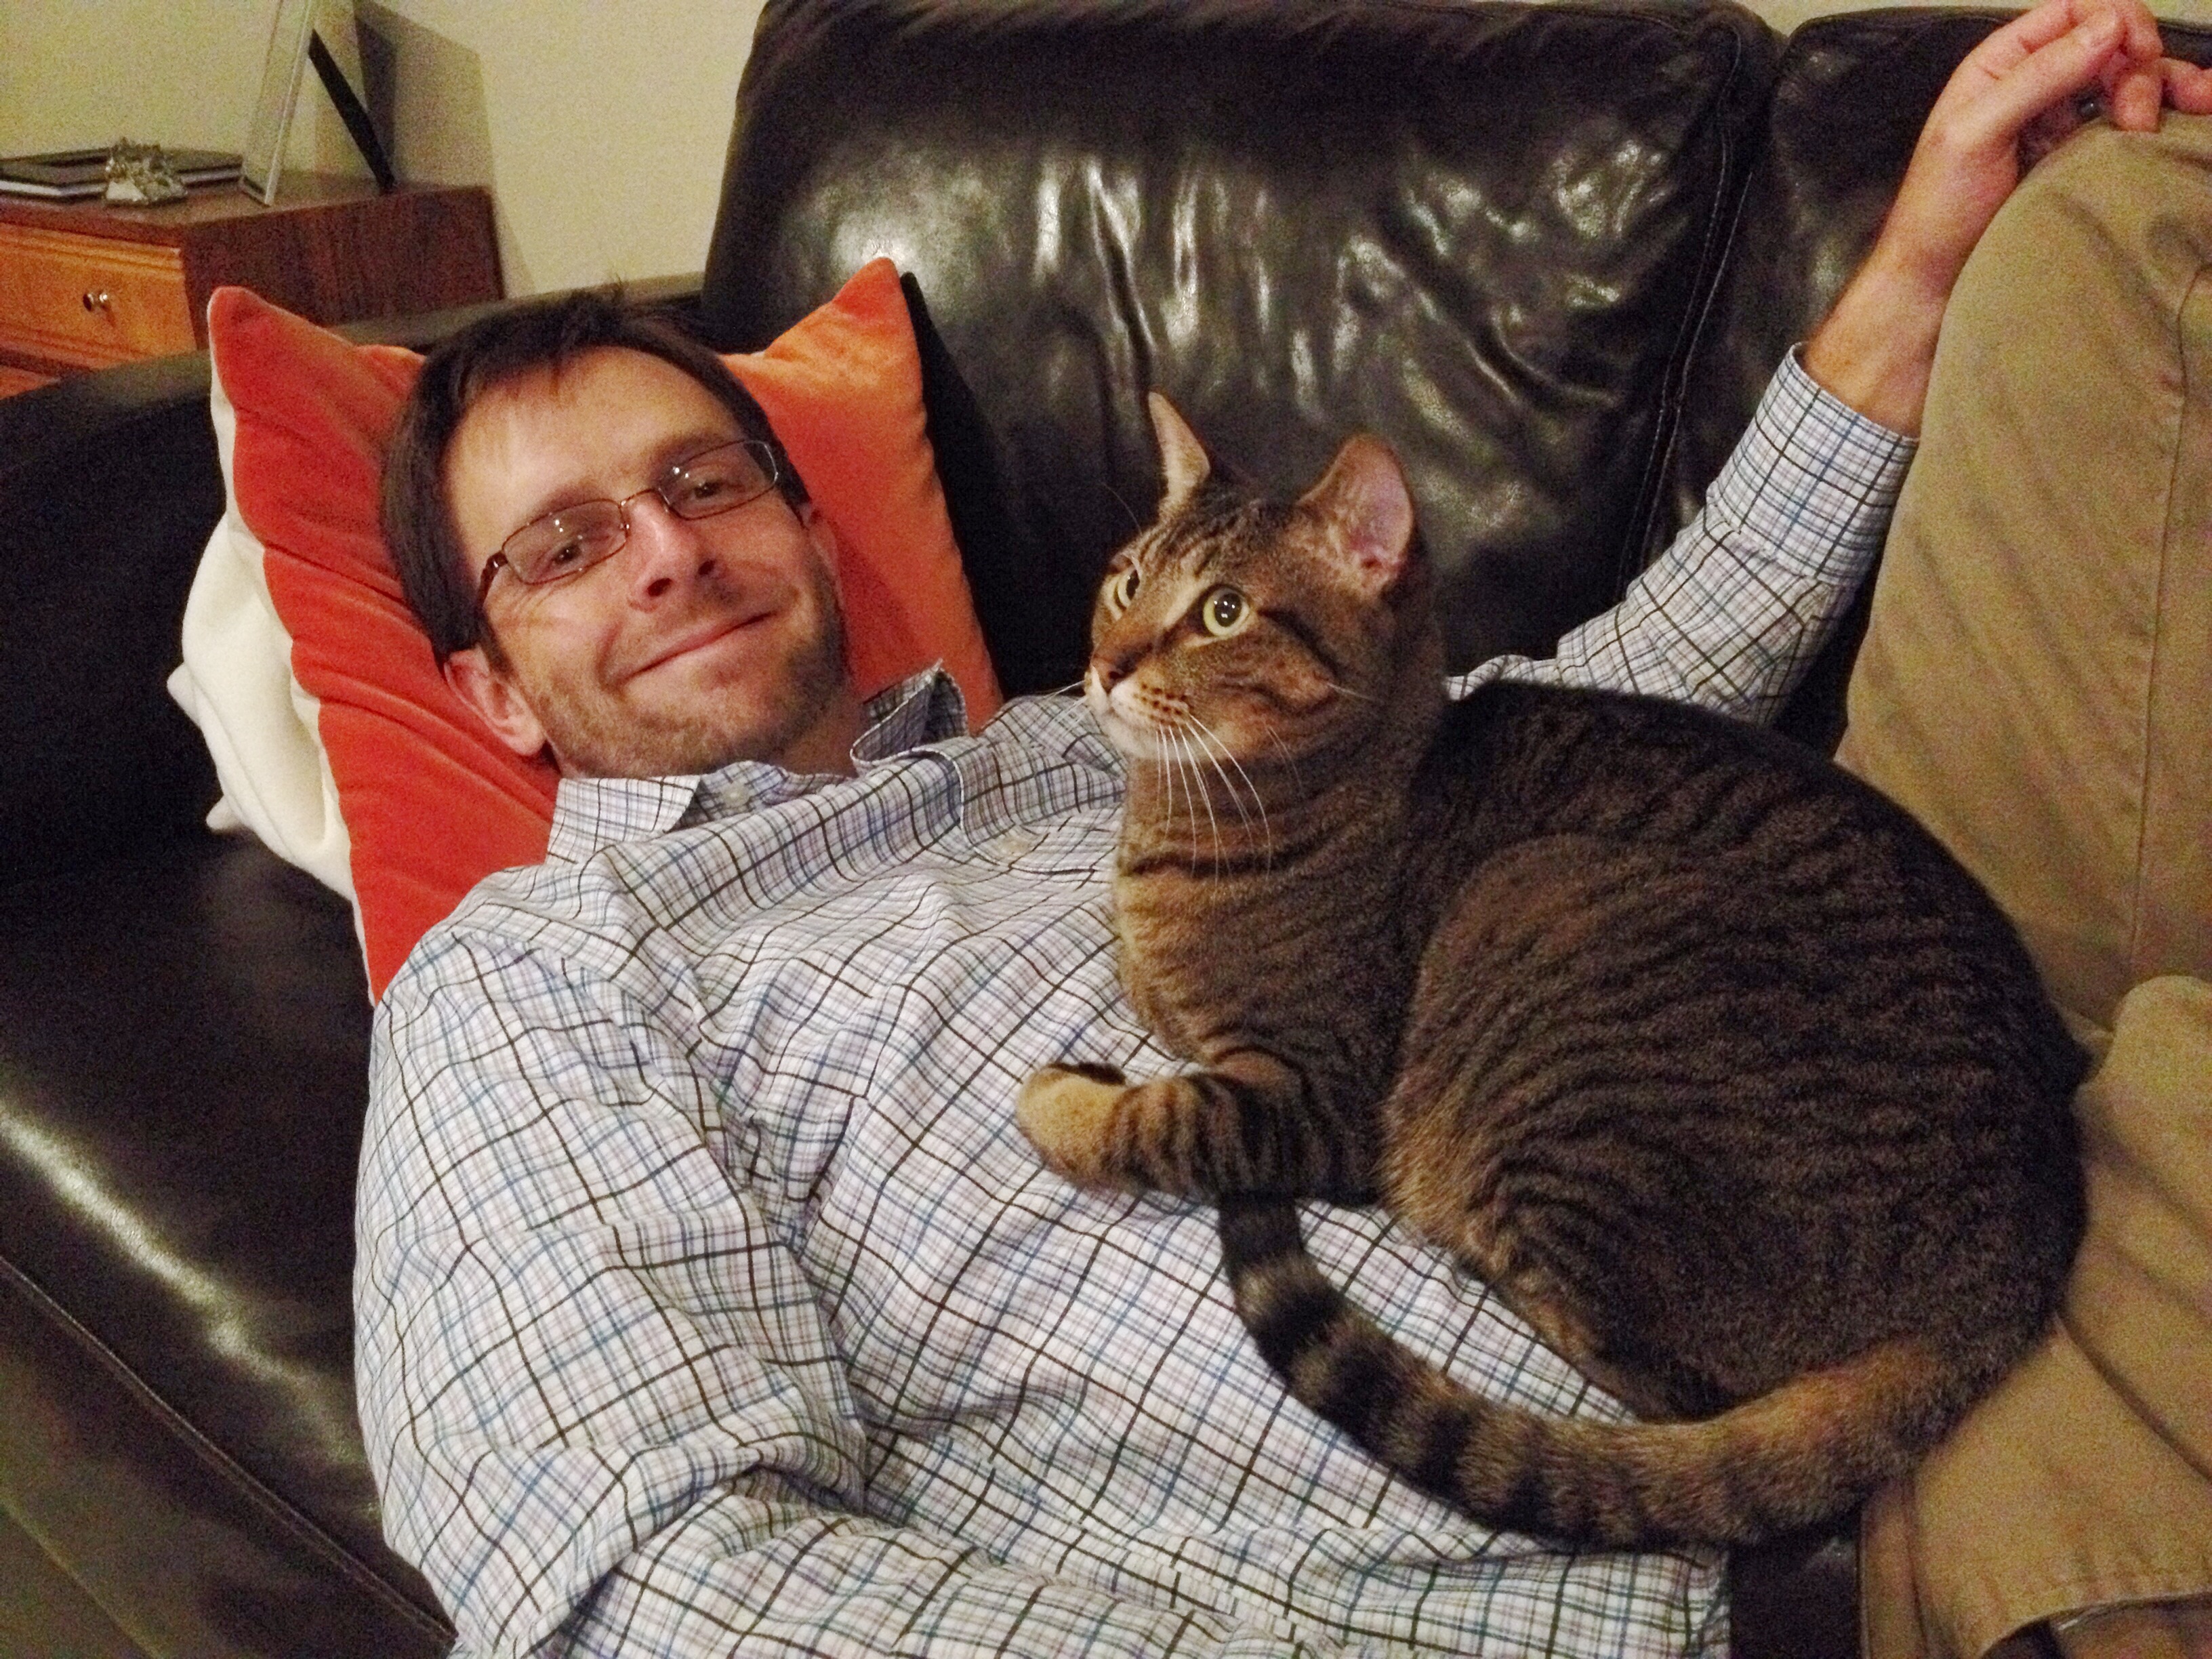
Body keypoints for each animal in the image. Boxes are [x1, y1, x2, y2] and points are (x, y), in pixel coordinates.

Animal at [1016, 393, 2088, 1549]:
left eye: (1222, 614)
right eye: (1127, 581)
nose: (1106, 666)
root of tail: (2024, 1265)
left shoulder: (1318, 1095)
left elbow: (1162, 1117)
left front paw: (1066, 1100)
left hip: (1533, 907)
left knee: (1664, 1385)